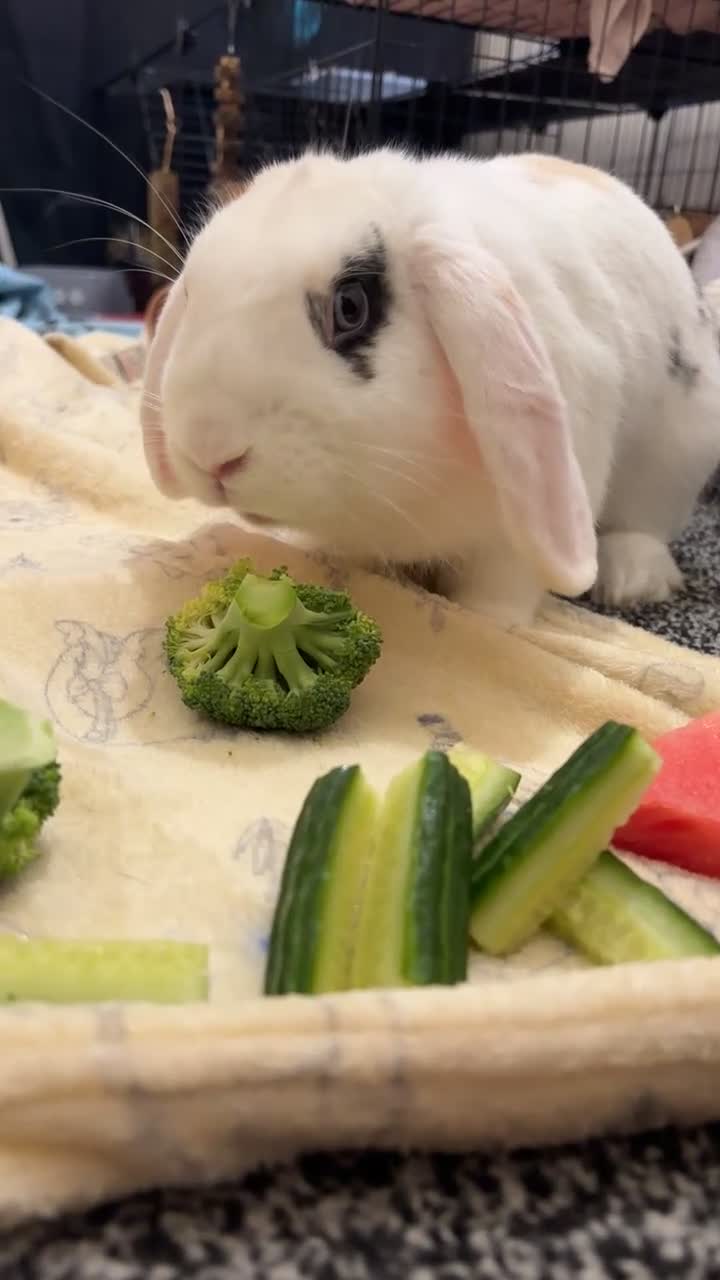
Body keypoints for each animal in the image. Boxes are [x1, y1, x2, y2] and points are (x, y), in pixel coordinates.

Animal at [140, 147, 720, 627]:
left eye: (351, 307)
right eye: (190, 295)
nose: (210, 452)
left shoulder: (523, 525)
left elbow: (502, 587)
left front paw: (489, 625)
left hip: (673, 457)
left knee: (644, 521)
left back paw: (629, 579)